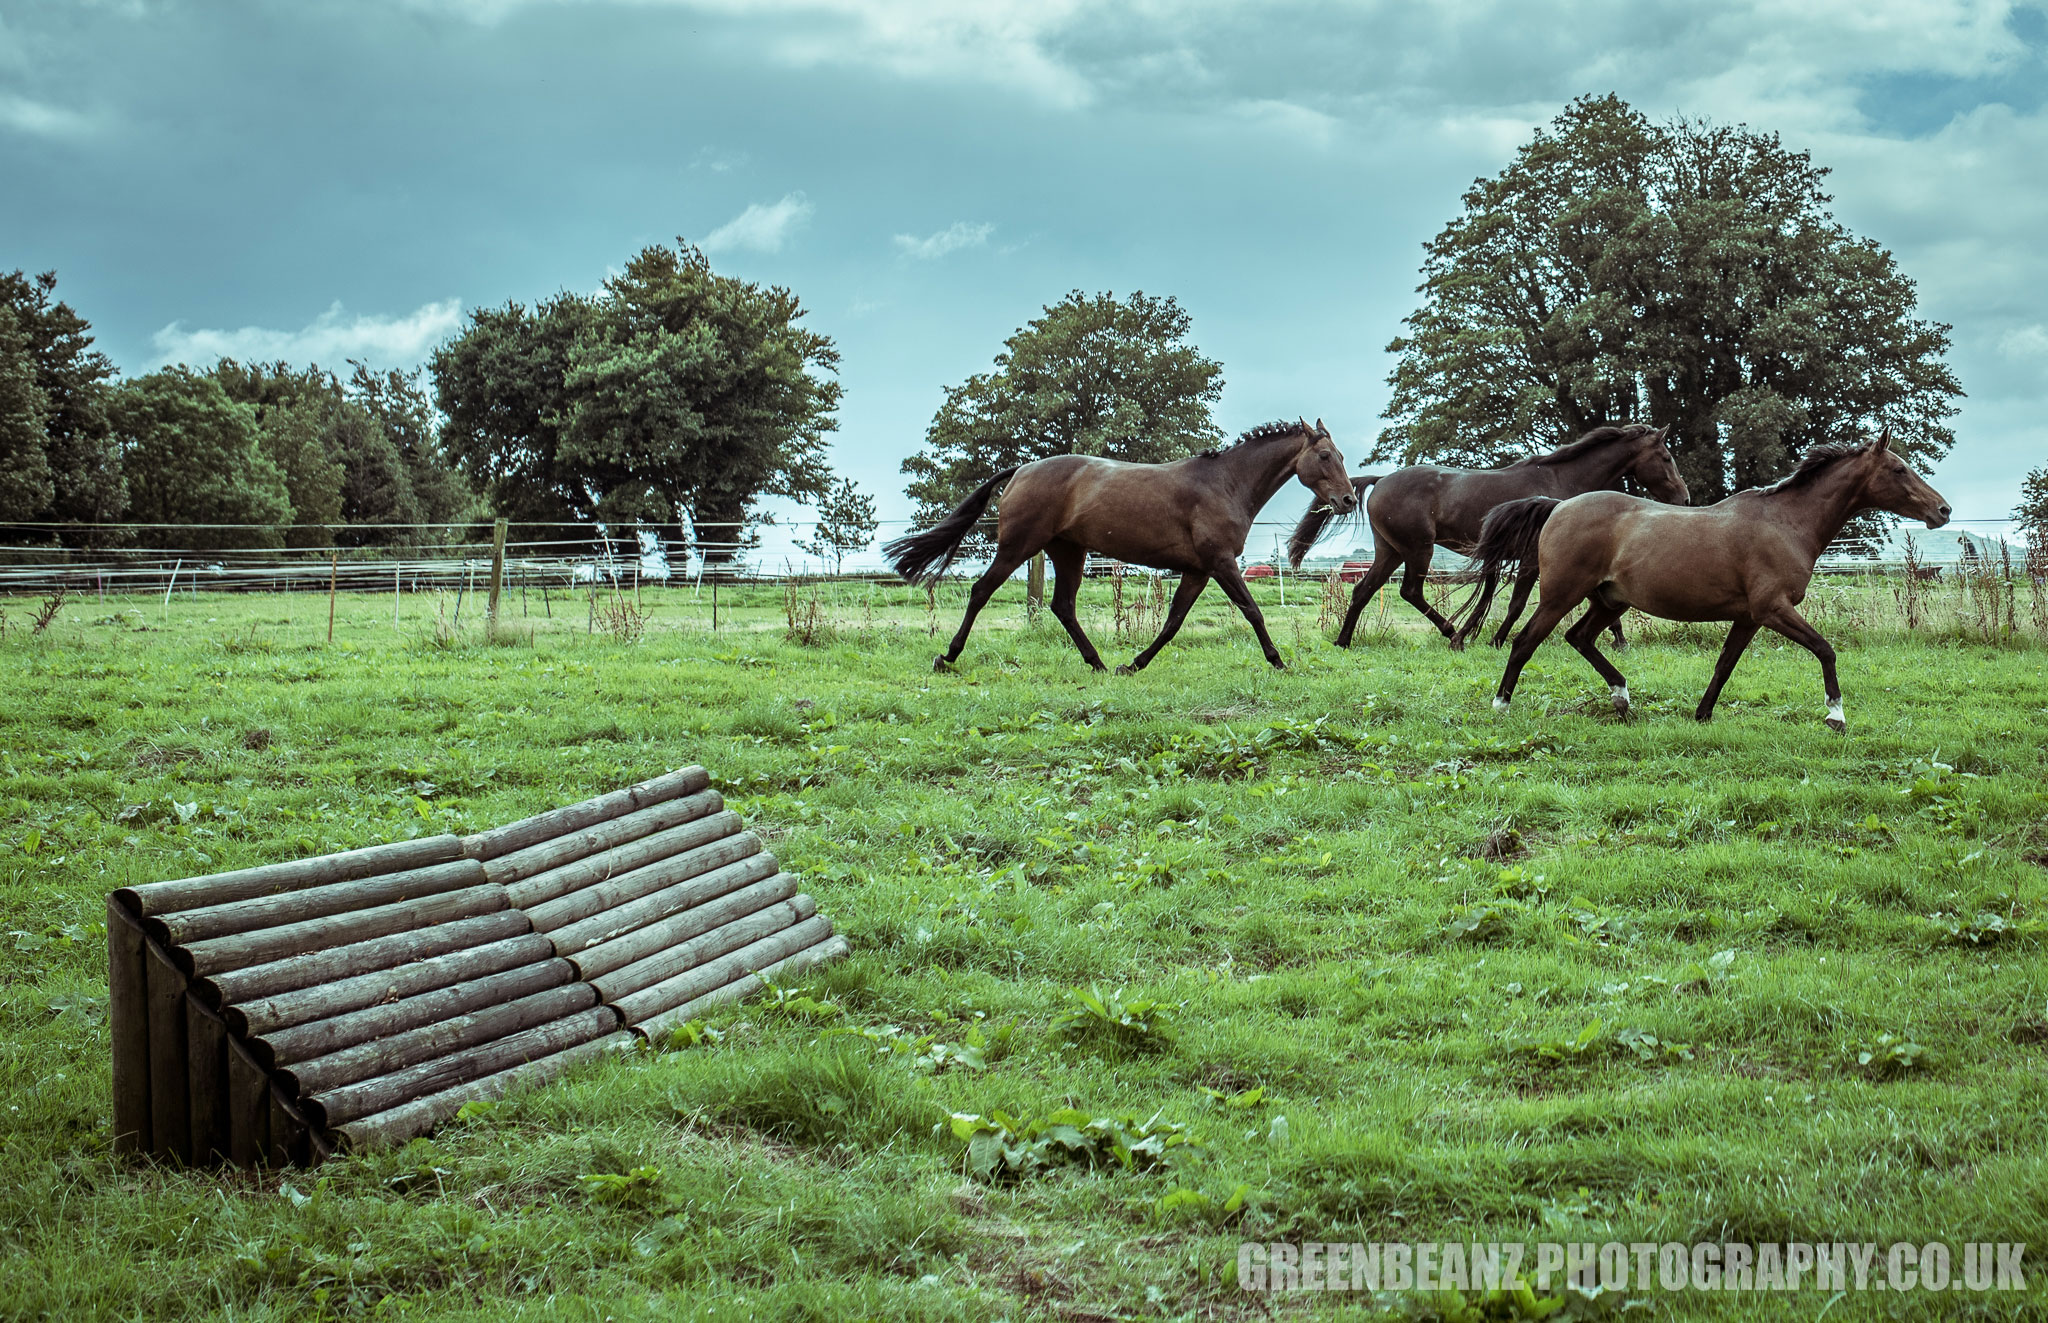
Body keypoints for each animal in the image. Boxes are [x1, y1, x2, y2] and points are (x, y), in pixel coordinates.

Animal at [880, 421, 1359, 679]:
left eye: (1338, 456)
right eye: (1325, 456)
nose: (1349, 499)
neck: (1224, 483)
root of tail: (1021, 470)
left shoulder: (1198, 570)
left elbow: (1172, 622)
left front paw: (1134, 664)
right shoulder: (1221, 563)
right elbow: (1252, 611)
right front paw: (1279, 662)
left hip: (1068, 554)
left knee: (1062, 606)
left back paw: (1097, 663)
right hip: (1018, 547)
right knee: (981, 591)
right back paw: (947, 657)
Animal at [1286, 421, 1687, 651]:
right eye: (1667, 457)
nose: (1684, 498)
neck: (1560, 482)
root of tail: (1380, 480)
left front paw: (1618, 639)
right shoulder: (1535, 559)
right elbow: (1517, 603)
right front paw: (1495, 639)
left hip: (1390, 551)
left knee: (1364, 591)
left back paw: (1343, 642)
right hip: (1418, 549)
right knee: (1410, 591)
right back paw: (1453, 634)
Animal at [1441, 432, 1949, 737]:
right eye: (1899, 470)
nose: (1942, 510)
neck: (1786, 522)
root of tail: (1557, 506)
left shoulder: (1749, 617)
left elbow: (1724, 665)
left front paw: (1702, 715)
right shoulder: (1774, 609)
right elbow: (1825, 650)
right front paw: (1835, 715)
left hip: (1610, 602)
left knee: (1579, 638)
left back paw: (1622, 698)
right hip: (1560, 595)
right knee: (1524, 641)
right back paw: (1501, 705)